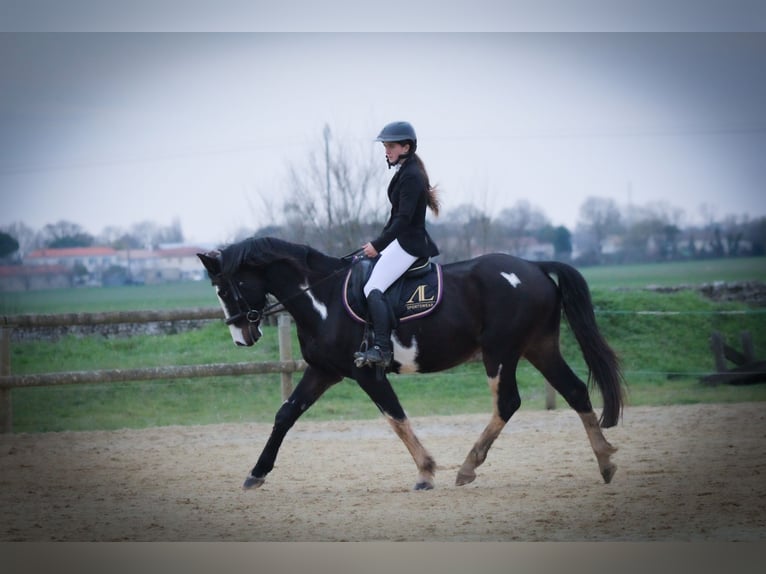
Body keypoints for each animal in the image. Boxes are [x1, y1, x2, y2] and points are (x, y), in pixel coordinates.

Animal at [198, 236, 625, 491]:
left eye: (225, 289)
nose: (242, 338)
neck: (323, 298)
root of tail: (534, 267)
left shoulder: (366, 373)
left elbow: (396, 417)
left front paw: (425, 471)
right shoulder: (324, 372)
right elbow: (285, 414)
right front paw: (256, 473)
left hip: (501, 353)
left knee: (508, 403)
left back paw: (467, 467)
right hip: (539, 348)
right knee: (574, 391)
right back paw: (605, 461)